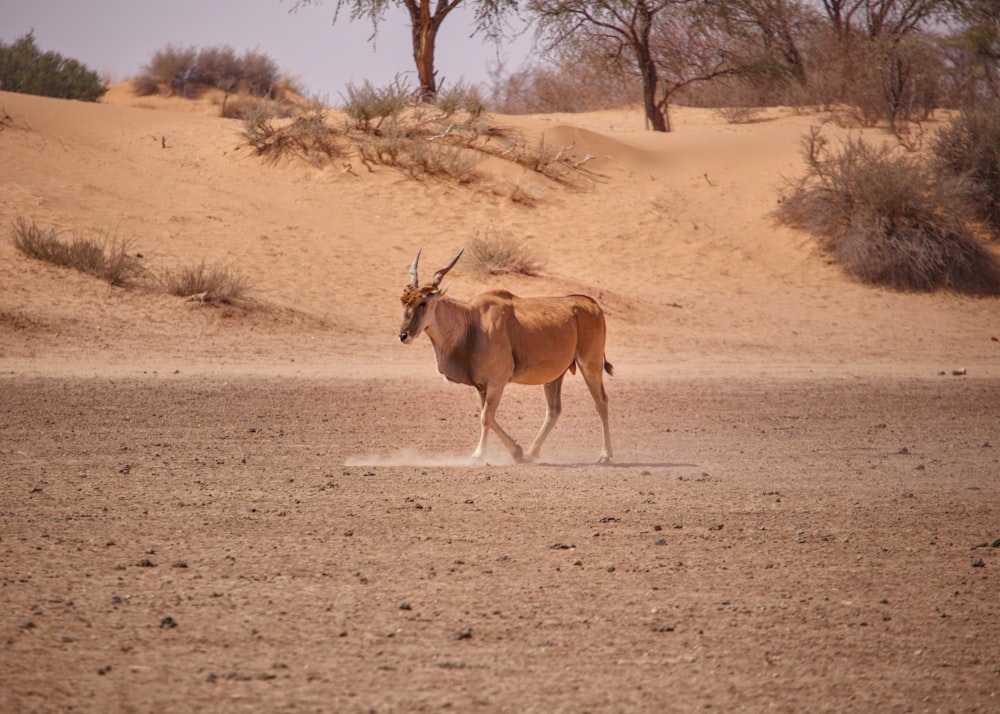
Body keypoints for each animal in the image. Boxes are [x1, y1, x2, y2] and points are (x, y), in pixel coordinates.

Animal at [396, 248, 612, 464]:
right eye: (404, 302)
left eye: (423, 302)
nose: (403, 335)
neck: (473, 323)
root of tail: (593, 304)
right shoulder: (481, 387)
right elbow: (487, 416)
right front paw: (514, 452)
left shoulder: (496, 382)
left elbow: (486, 417)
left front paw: (481, 455)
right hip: (555, 376)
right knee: (554, 410)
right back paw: (532, 452)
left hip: (590, 365)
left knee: (601, 402)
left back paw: (605, 455)